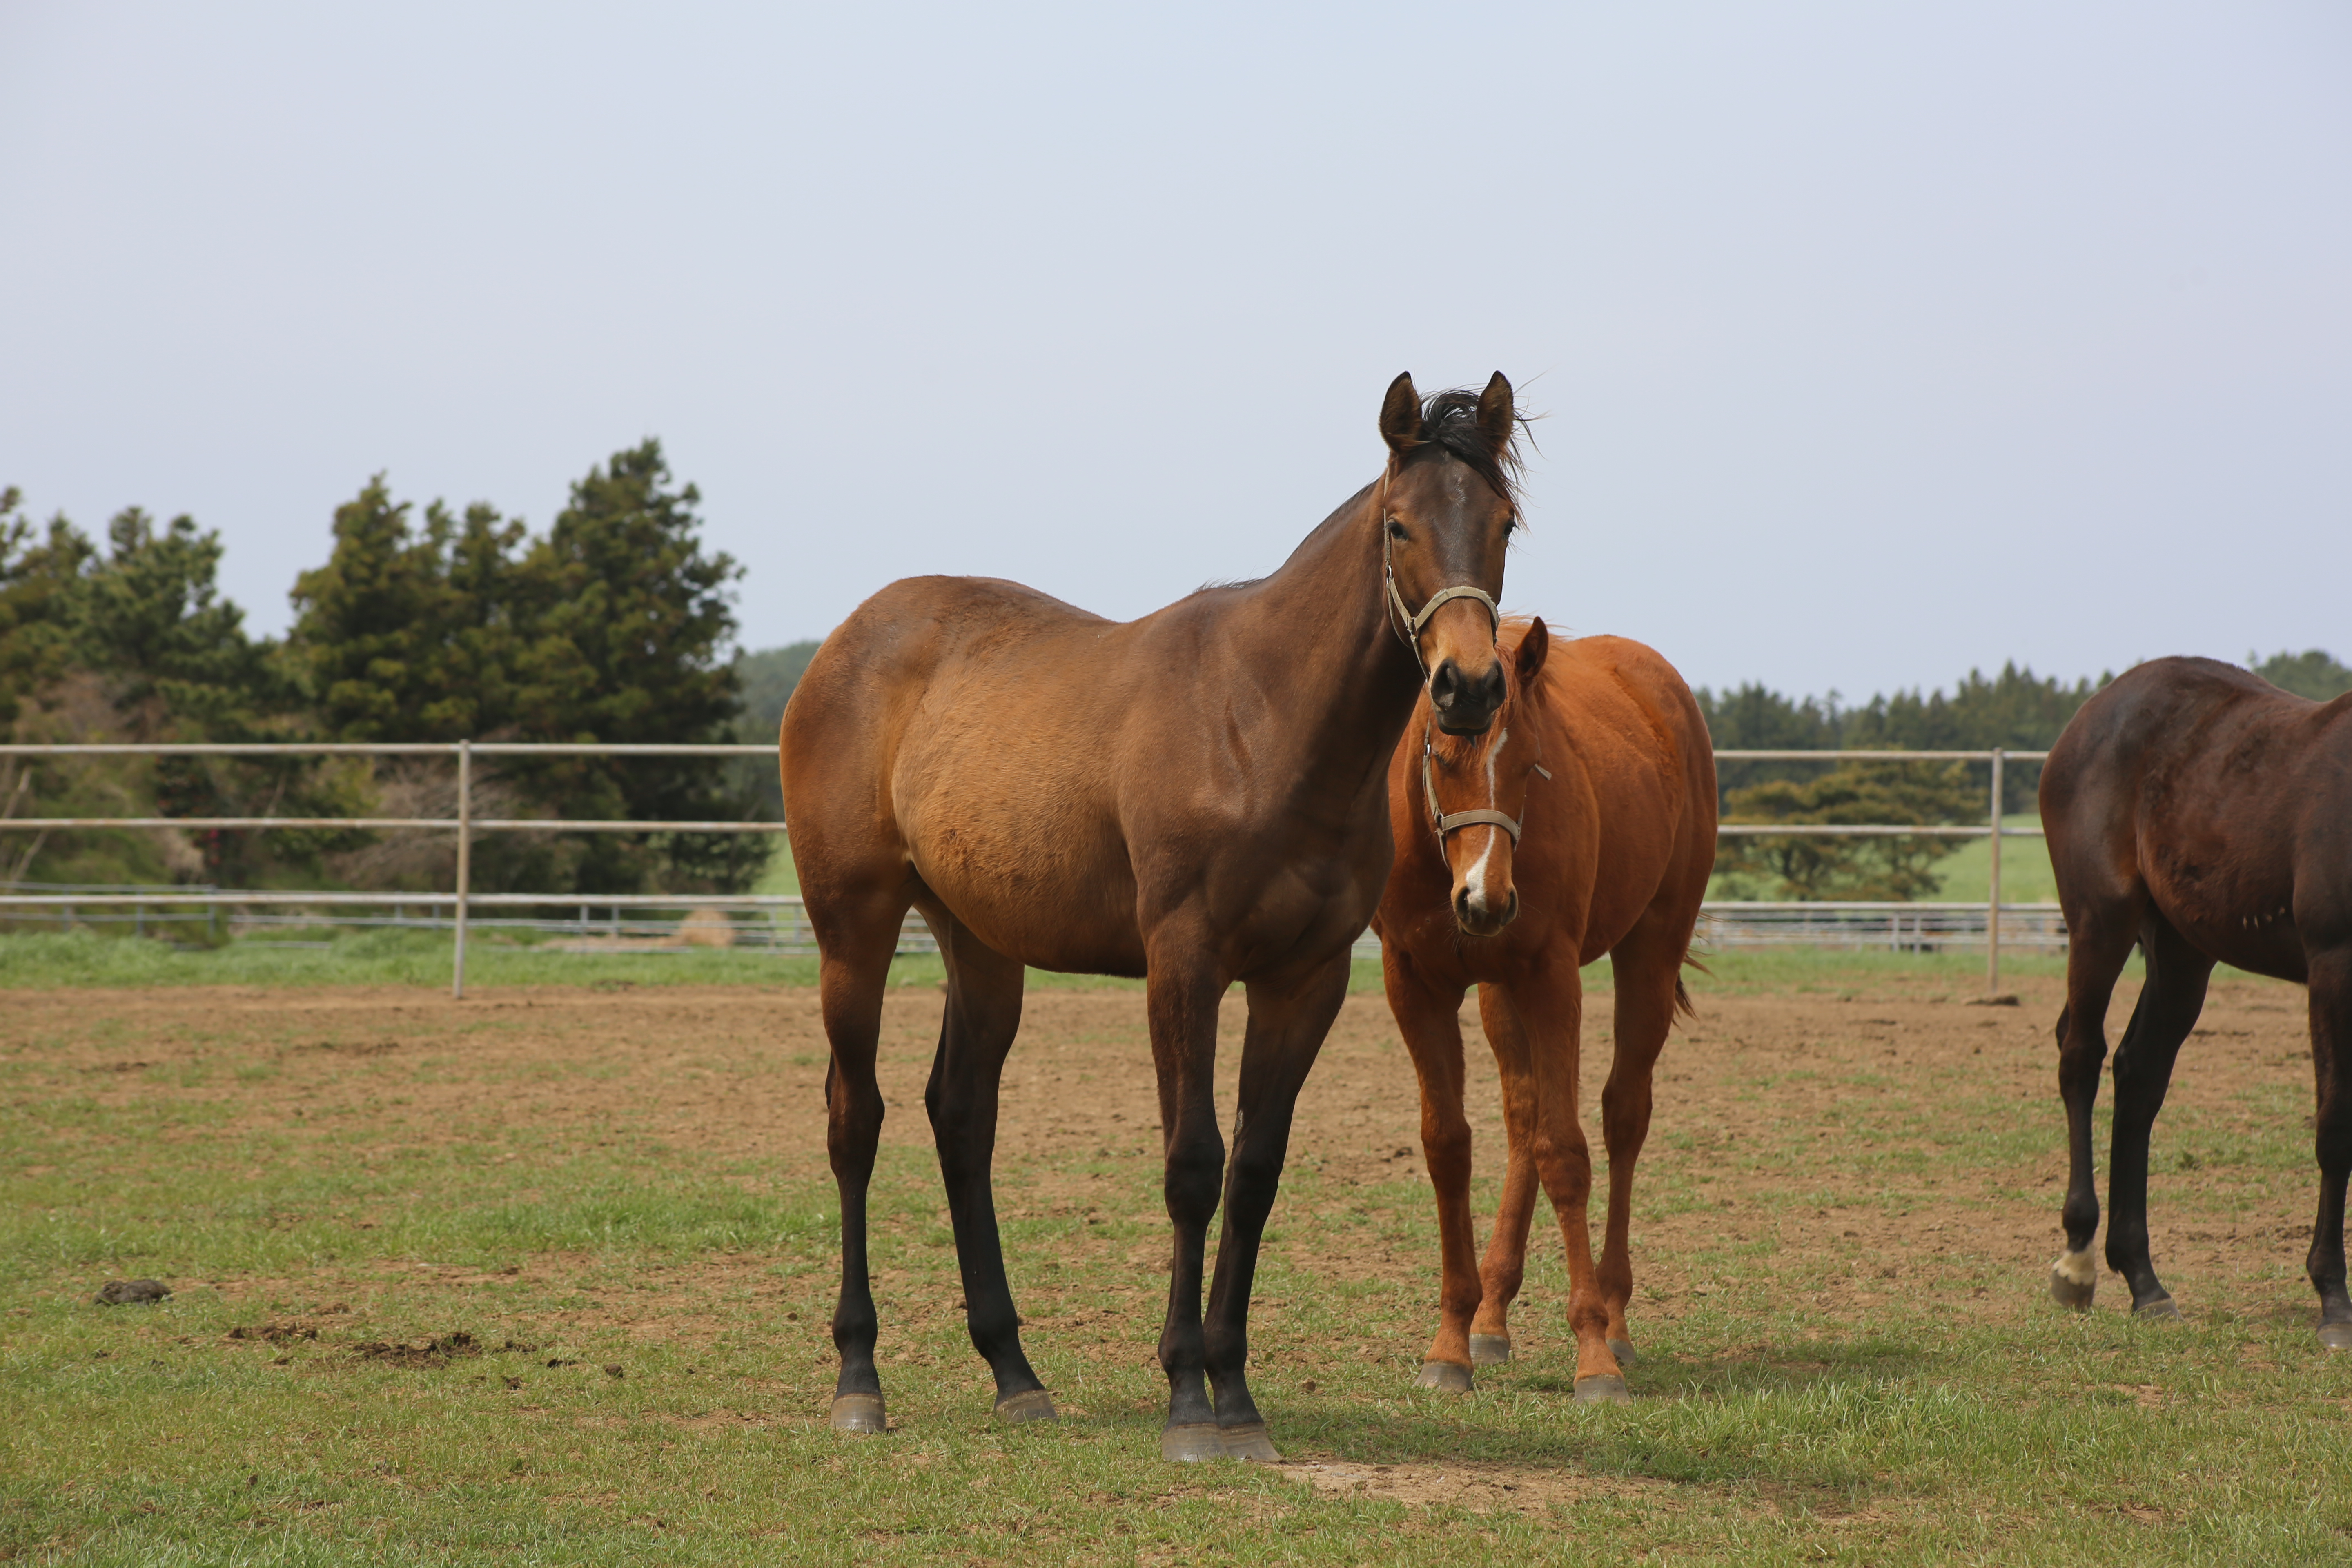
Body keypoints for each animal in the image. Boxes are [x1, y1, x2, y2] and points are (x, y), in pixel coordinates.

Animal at [781, 374, 1533, 1467]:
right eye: (1399, 524)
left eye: (1503, 523)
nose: (1469, 686)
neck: (1261, 722)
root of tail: (846, 642)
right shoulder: (1184, 965)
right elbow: (1192, 1164)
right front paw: (1186, 1396)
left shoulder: (1304, 979)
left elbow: (1254, 1172)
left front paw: (1237, 1393)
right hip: (854, 931)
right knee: (855, 1120)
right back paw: (857, 1378)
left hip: (982, 944)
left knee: (960, 1117)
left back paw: (1015, 1373)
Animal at [1373, 620, 1722, 1401]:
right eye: (1441, 754)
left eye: (1533, 761)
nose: (1487, 900)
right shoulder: (1413, 983)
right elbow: (1449, 1146)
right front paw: (1452, 1342)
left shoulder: (1553, 978)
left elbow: (1566, 1152)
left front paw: (1592, 1354)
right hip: (1501, 994)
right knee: (1523, 1119)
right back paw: (1492, 1316)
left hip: (1649, 954)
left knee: (1622, 1116)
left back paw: (1615, 1322)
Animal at [2041, 648, 2352, 1354]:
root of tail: (2093, 711)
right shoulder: (2334, 966)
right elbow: (2335, 1129)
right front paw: (2334, 1303)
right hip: (2101, 920)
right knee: (2082, 1058)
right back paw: (2078, 1262)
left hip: (2182, 949)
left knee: (2139, 1074)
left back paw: (2145, 1283)